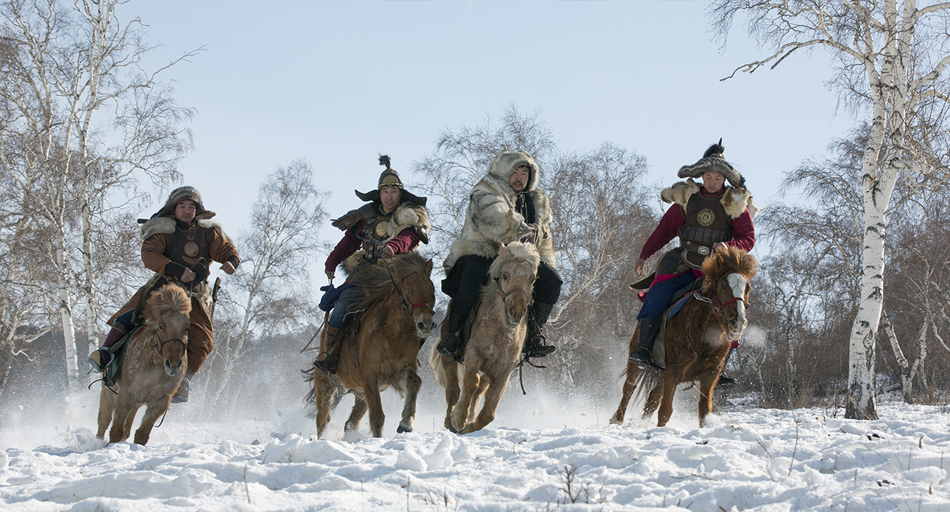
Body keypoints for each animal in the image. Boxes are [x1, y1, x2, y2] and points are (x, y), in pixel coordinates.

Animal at [97, 284, 192, 444]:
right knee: (103, 421)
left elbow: (141, 434)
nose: (173, 364)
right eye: (161, 326)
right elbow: (116, 430)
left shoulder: (160, 402)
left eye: (186, 327)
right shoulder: (126, 395)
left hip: (138, 402)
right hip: (109, 391)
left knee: (127, 428)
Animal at [308, 251, 436, 436]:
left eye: (432, 291)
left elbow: (415, 381)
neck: (394, 335)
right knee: (322, 419)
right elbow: (377, 416)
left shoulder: (398, 373)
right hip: (326, 384)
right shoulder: (370, 376)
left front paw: (406, 423)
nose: (425, 325)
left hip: (359, 394)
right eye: (409, 291)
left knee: (350, 423)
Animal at [434, 242, 544, 434]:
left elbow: (488, 413)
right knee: (453, 390)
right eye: (505, 275)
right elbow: (471, 382)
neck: (501, 332)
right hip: (448, 358)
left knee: (480, 388)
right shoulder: (474, 353)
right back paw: (450, 420)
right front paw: (458, 420)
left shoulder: (504, 370)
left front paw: (469, 425)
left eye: (532, 279)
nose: (516, 312)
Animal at [608, 247, 760, 428]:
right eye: (723, 286)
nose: (738, 321)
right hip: (639, 361)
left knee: (653, 397)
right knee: (629, 387)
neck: (704, 334)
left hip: (662, 372)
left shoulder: (710, 376)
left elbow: (704, 410)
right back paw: (617, 419)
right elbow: (665, 411)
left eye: (748, 288)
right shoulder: (673, 372)